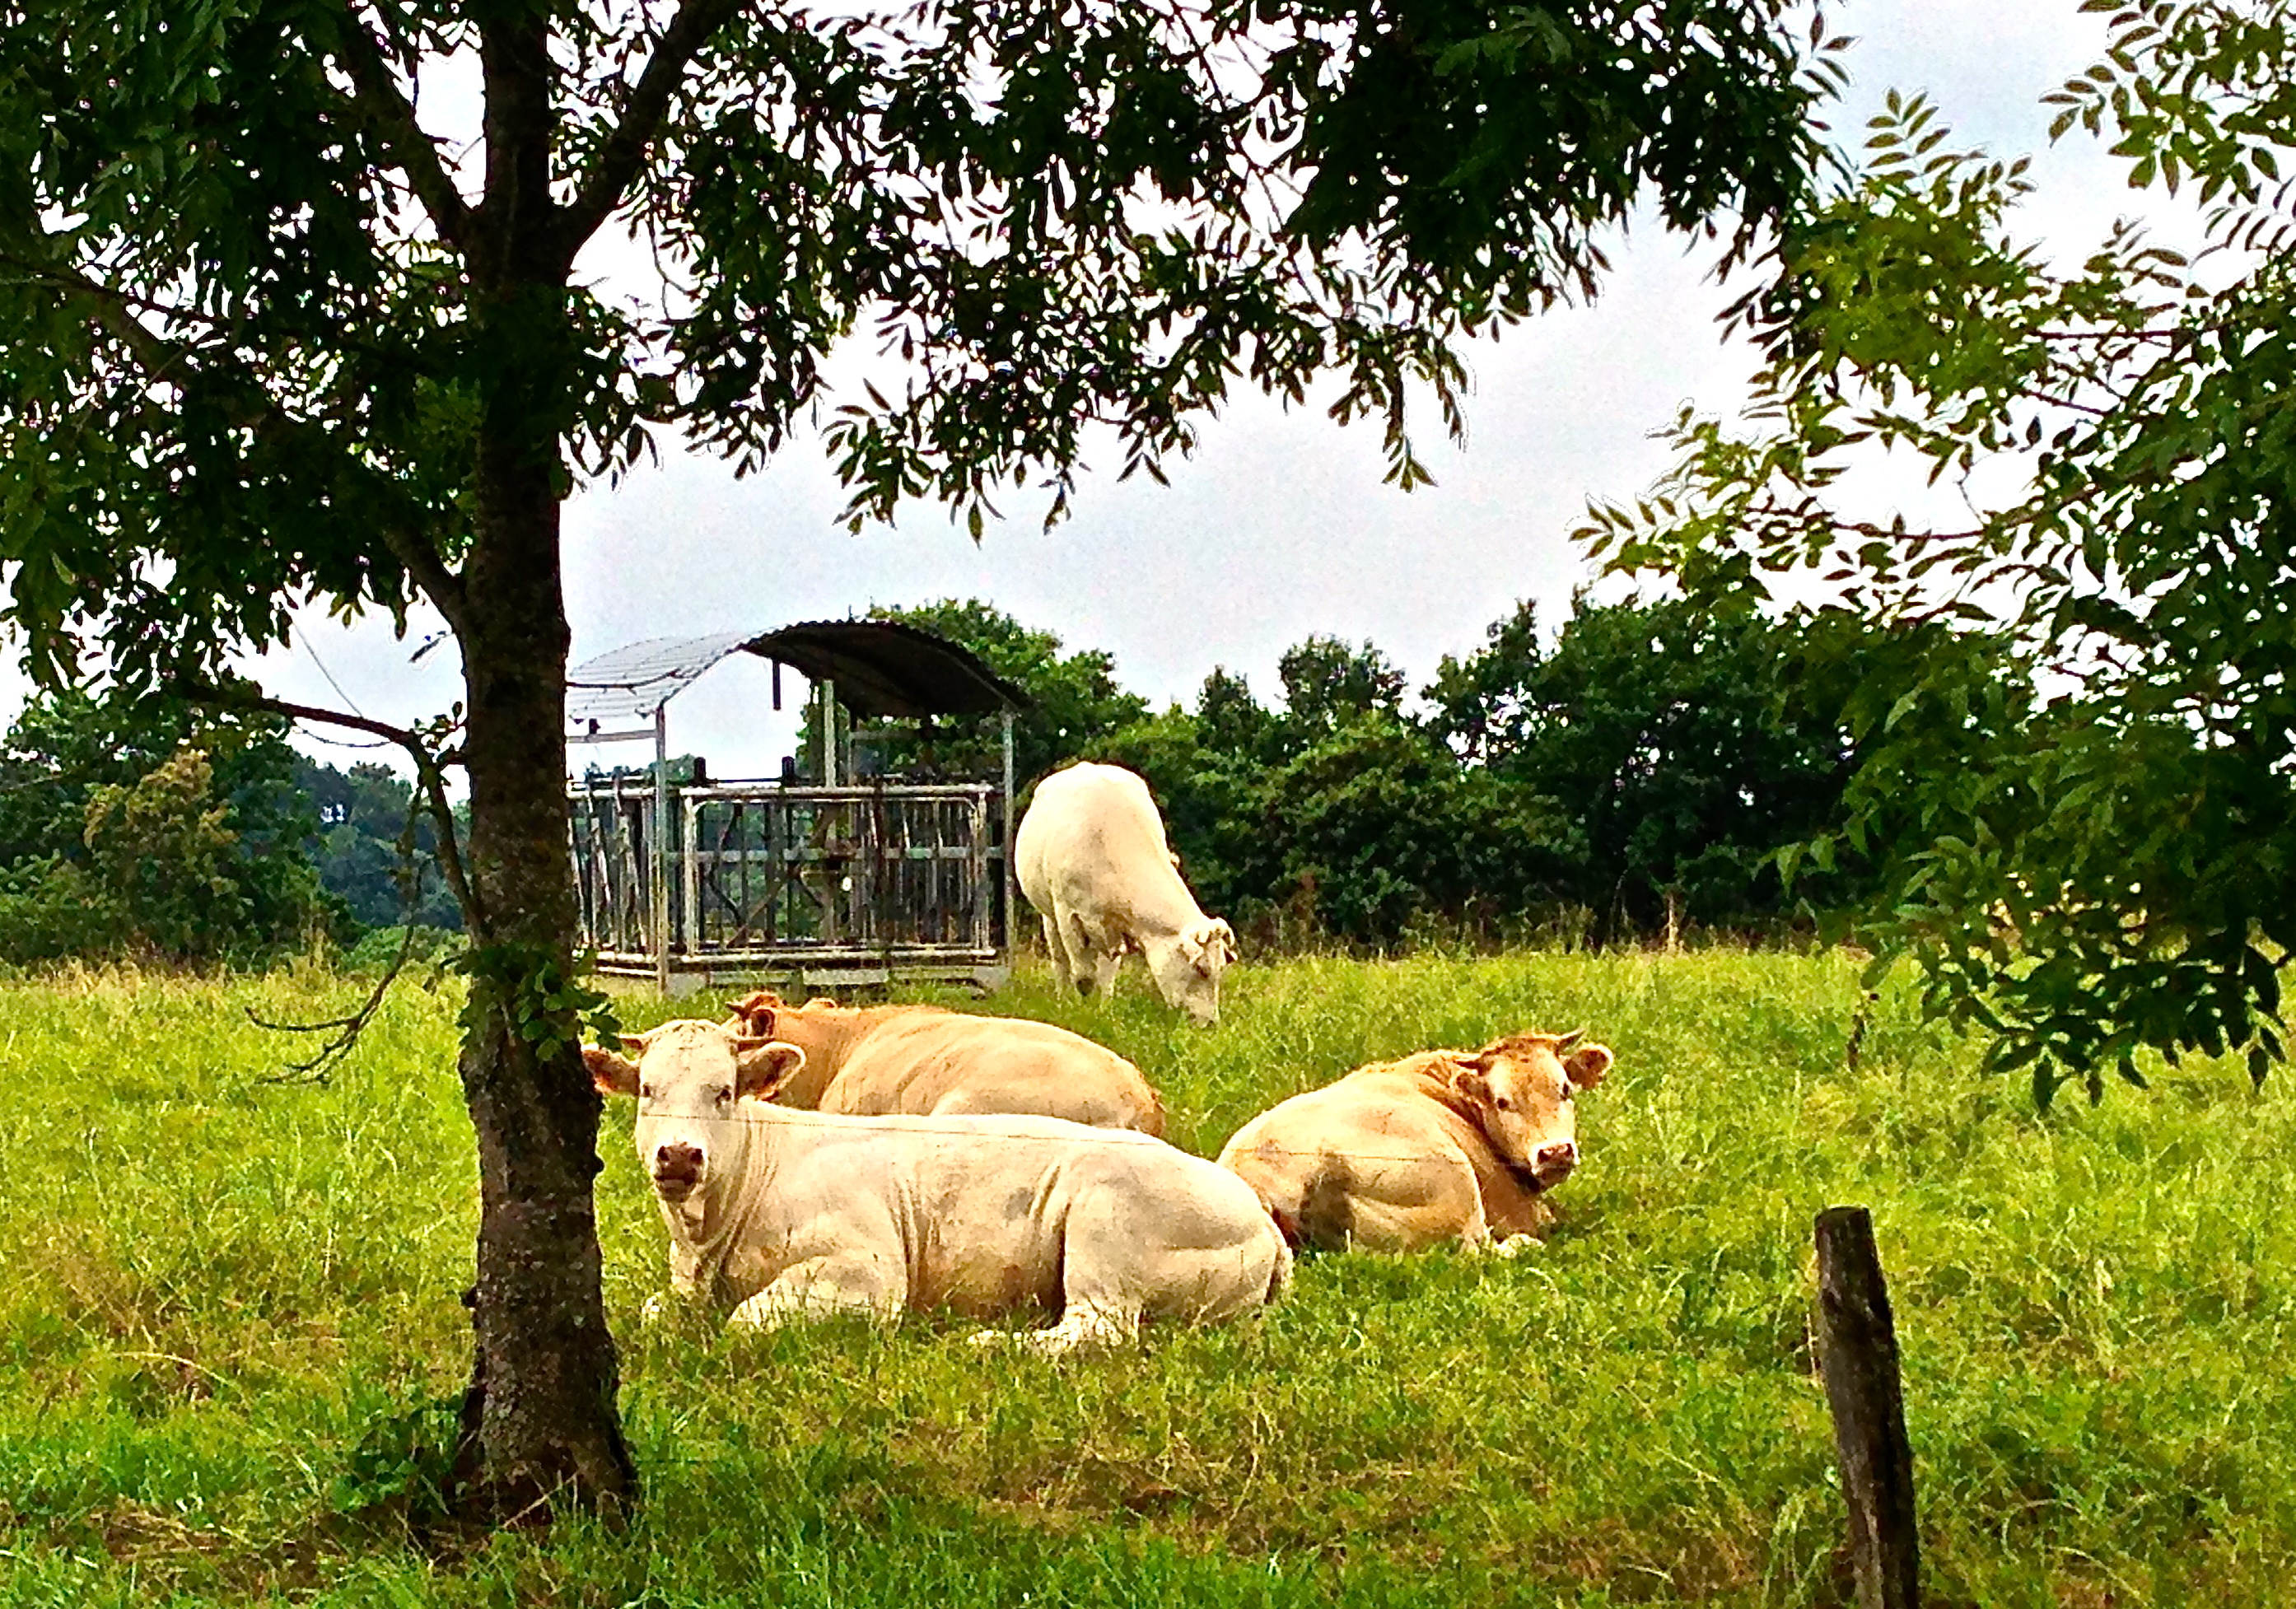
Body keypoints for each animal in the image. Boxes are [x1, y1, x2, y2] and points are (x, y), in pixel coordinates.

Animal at [586, 1019, 1290, 1352]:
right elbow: (656, 1311)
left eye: (725, 1091)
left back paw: (991, 1345)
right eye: (647, 1091)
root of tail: (1260, 1218)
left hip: (1106, 1225)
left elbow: (745, 1322)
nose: (680, 1155)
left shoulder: (867, 1272)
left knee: (1101, 1330)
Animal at [1015, 761, 1237, 1025]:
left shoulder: (1115, 925)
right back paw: (1063, 997)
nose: (1211, 1023)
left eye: (1221, 968)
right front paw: (1079, 1011)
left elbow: (1107, 973)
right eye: (1201, 969)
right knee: (1060, 960)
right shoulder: (1067, 913)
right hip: (1049, 915)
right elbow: (1082, 975)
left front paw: (1104, 1011)